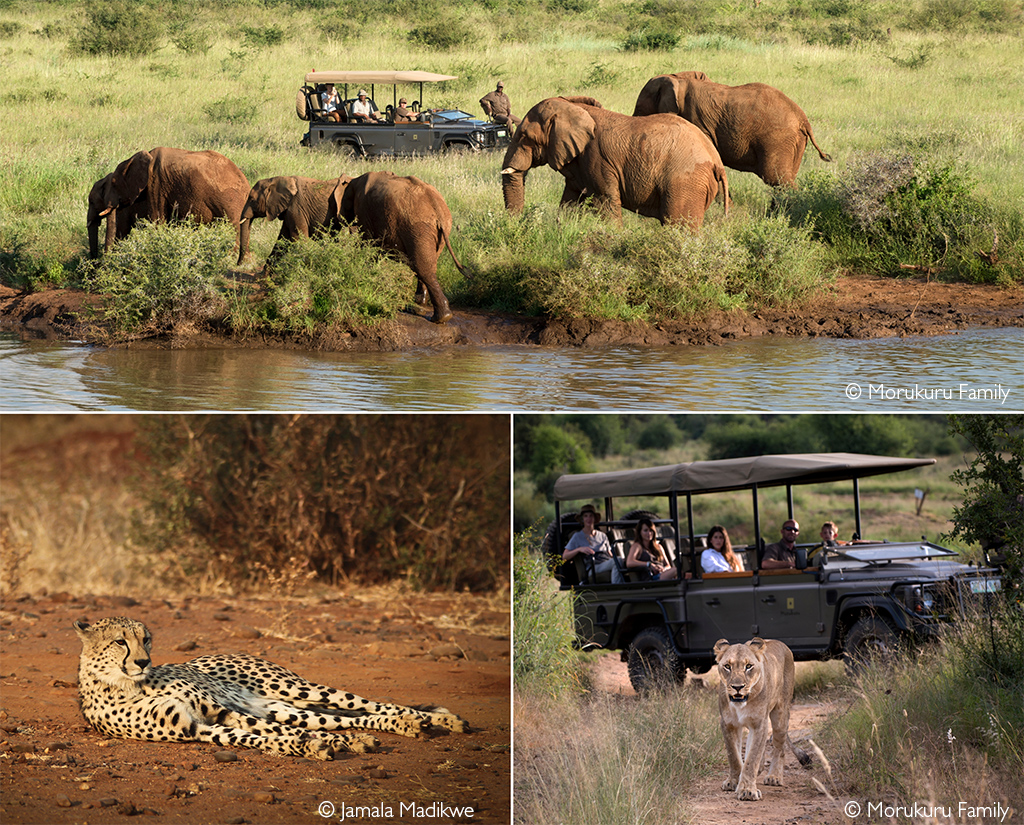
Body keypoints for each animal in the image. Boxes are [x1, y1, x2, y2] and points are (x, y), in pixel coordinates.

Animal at [74, 622, 468, 761]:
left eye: (146, 638)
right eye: (120, 641)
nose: (144, 661)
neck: (127, 683)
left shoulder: (220, 710)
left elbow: (272, 733)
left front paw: (319, 745)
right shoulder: (197, 727)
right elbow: (256, 737)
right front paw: (314, 747)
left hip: (296, 689)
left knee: (370, 704)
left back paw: (432, 720)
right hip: (280, 705)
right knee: (343, 718)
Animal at [344, 171, 471, 325]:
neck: (354, 181)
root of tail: (436, 205)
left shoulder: (364, 212)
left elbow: (369, 248)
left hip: (418, 227)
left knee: (422, 267)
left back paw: (438, 317)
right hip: (441, 228)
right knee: (427, 265)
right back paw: (423, 306)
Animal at [501, 96, 729, 229]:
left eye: (524, 137)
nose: (516, 225)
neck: (573, 108)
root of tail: (717, 162)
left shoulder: (597, 159)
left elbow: (605, 202)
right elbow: (570, 201)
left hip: (685, 182)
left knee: (678, 226)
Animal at [630, 71, 831, 189]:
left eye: (639, 108)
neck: (678, 79)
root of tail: (803, 119)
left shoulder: (696, 119)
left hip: (778, 139)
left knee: (776, 178)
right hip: (795, 143)